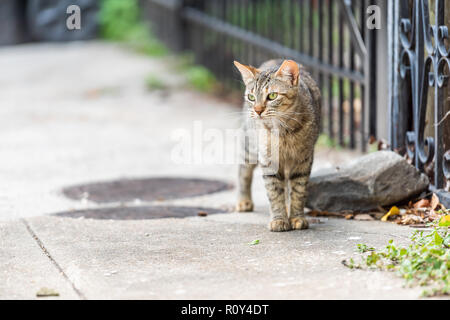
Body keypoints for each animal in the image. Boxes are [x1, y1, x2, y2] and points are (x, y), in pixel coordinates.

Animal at [234, 58, 322, 231]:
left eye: (272, 96)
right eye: (251, 97)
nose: (257, 110)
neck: (283, 132)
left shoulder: (303, 160)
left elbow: (298, 190)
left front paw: (296, 217)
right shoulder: (268, 160)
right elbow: (274, 192)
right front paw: (279, 219)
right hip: (250, 147)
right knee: (243, 171)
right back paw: (244, 200)